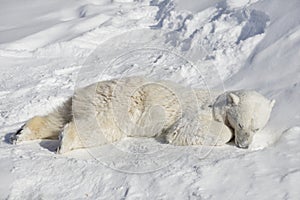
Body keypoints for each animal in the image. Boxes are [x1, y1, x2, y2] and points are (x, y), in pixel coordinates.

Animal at [10, 76, 276, 153]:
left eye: (257, 128)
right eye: (240, 125)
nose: (244, 145)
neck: (217, 100)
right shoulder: (198, 112)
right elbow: (186, 129)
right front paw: (225, 134)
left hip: (82, 99)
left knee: (58, 116)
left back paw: (21, 133)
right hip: (120, 107)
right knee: (100, 128)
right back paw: (65, 141)